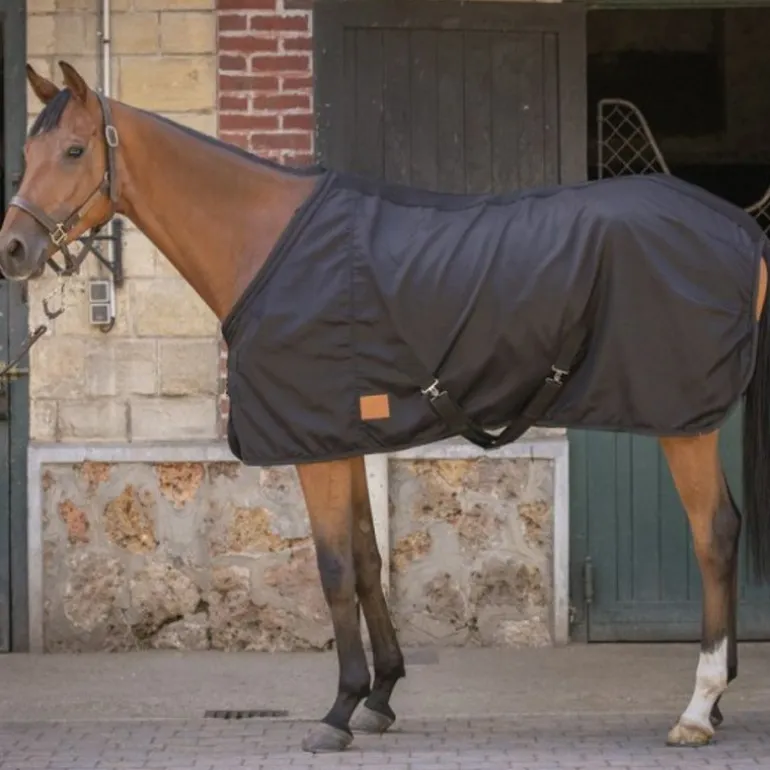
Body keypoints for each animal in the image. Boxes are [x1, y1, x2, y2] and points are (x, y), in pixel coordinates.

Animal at [0, 60, 769, 755]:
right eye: (28, 155)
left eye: (74, 151)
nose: (13, 247)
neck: (265, 242)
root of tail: (743, 230)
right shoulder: (344, 435)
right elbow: (369, 561)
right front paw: (380, 696)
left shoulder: (316, 445)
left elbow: (335, 569)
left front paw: (338, 710)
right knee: (728, 528)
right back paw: (717, 698)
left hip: (684, 425)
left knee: (714, 534)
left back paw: (698, 708)